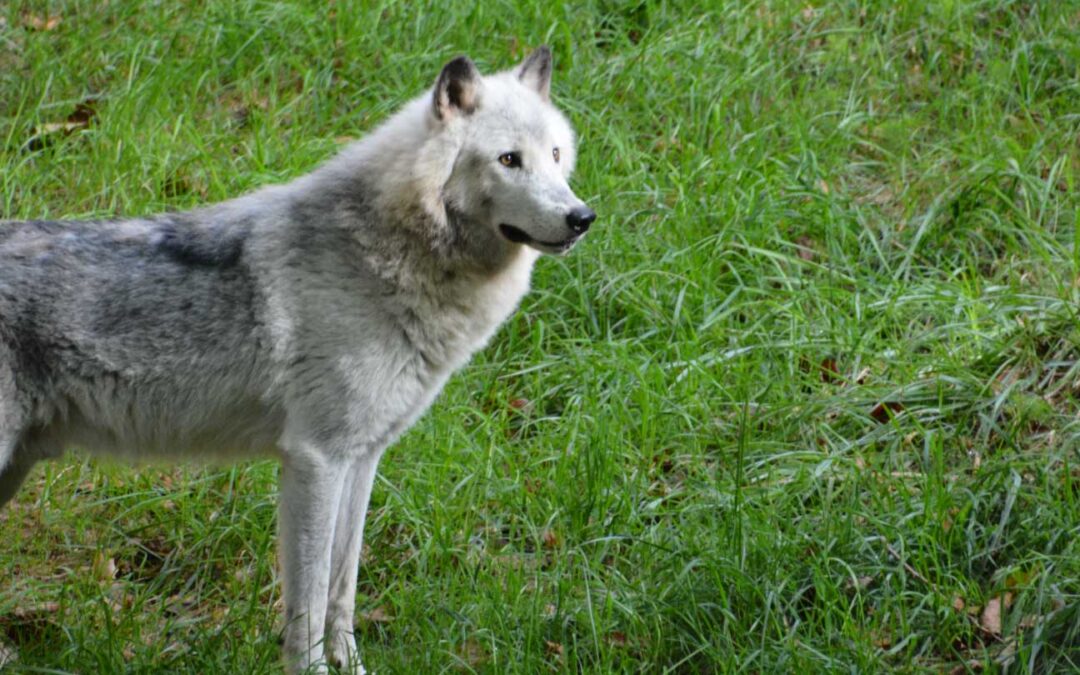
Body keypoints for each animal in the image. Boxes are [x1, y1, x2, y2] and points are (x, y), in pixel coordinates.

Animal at [0, 44, 591, 669]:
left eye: (555, 155)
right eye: (509, 160)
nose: (582, 217)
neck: (384, 255)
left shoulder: (361, 459)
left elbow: (342, 589)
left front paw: (353, 667)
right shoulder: (315, 460)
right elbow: (307, 601)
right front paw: (312, 669)